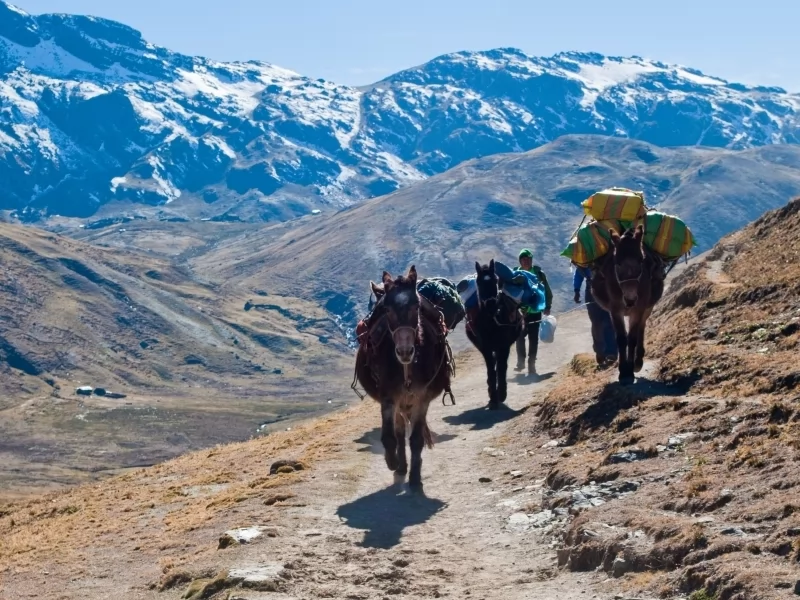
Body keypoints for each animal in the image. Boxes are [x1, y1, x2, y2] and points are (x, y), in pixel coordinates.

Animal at [354, 264, 454, 490]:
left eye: (416, 307)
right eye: (387, 310)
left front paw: (415, 478)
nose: (405, 352)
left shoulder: (422, 398)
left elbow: (416, 439)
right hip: (399, 401)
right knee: (399, 431)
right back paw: (400, 466)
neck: (407, 367)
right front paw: (393, 462)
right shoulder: (388, 396)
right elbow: (389, 437)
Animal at [462, 260, 524, 410]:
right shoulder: (486, 348)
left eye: (495, 280)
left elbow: (502, 367)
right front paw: (493, 398)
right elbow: (491, 368)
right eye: (478, 282)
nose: (491, 305)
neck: (491, 321)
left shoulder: (504, 346)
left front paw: (501, 394)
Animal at [592, 224, 664, 384]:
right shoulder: (615, 310)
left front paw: (629, 371)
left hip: (647, 308)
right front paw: (622, 371)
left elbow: (631, 338)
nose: (630, 299)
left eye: (641, 261)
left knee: (641, 328)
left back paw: (638, 362)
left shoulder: (638, 309)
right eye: (617, 263)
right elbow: (621, 338)